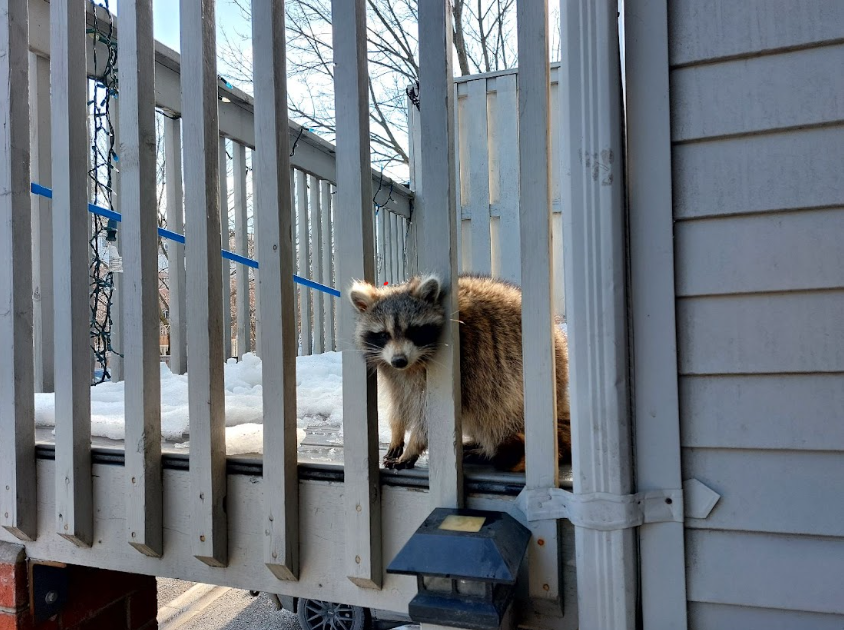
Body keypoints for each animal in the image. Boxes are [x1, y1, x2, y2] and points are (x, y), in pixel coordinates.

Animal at [346, 274, 572, 472]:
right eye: (383, 334)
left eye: (413, 331)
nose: (399, 360)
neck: (412, 365)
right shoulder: (393, 371)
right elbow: (399, 400)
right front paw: (397, 429)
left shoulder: (461, 364)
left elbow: (428, 414)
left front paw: (414, 445)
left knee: (497, 412)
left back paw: (487, 448)